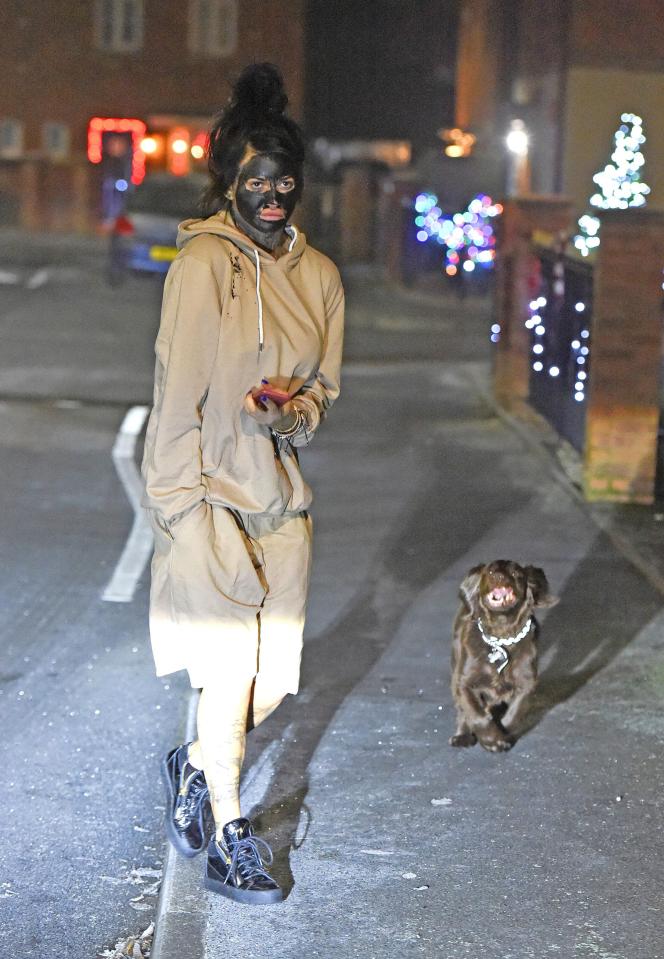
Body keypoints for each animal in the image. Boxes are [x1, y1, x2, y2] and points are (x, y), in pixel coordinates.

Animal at [448, 560, 556, 752]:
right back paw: (462, 736)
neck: (502, 635)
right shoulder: (464, 682)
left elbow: (514, 713)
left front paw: (502, 734)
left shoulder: (527, 682)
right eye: (490, 572)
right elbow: (475, 714)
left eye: (515, 573)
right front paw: (492, 741)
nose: (498, 577)